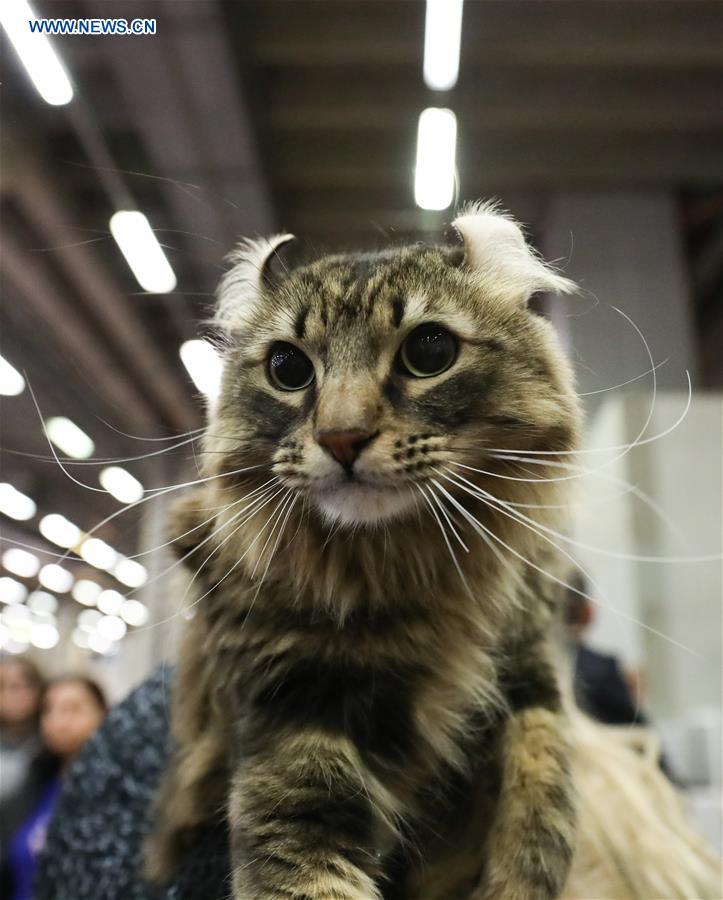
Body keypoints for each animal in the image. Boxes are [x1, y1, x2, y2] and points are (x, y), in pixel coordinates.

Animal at [144, 204, 584, 900]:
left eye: (429, 352)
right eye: (288, 369)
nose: (342, 438)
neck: (399, 571)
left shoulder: (529, 659)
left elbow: (544, 795)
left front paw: (516, 875)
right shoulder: (290, 716)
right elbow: (304, 869)